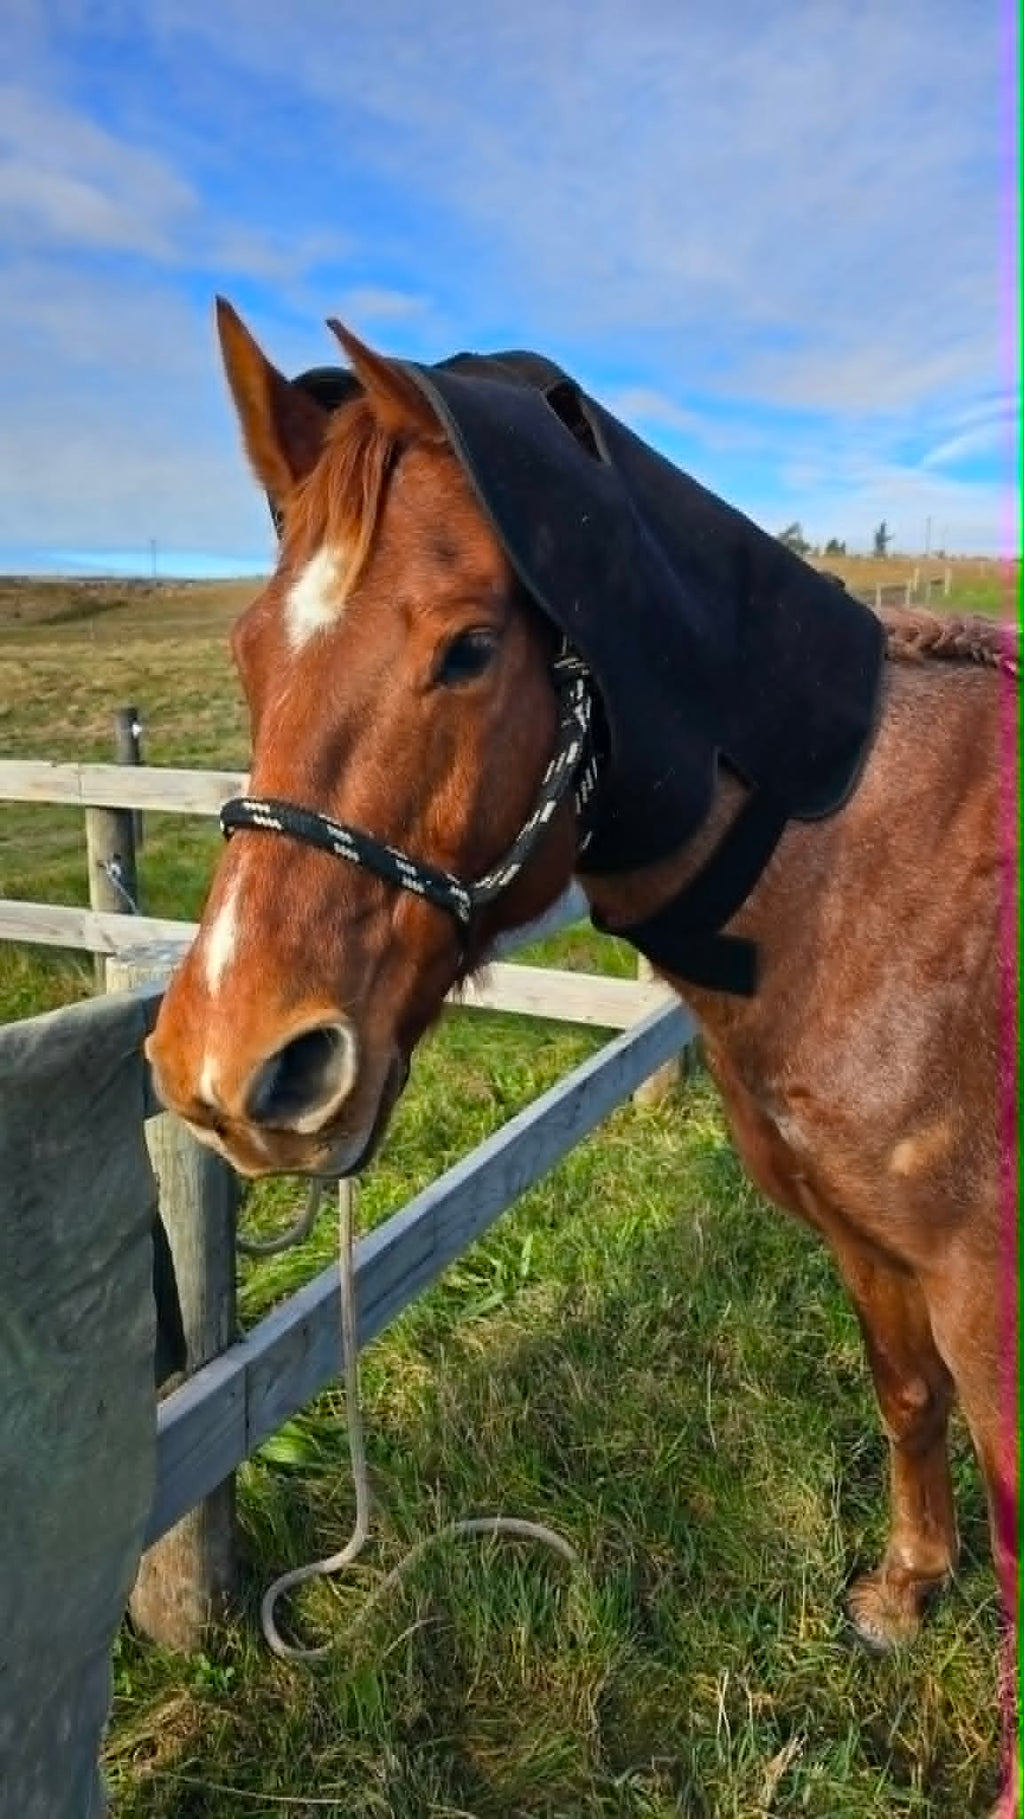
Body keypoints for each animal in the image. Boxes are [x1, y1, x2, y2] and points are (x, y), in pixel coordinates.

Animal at [147, 298, 1019, 1815]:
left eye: (467, 648)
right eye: (252, 652)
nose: (232, 1064)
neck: (862, 876)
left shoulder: (992, 1291)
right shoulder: (871, 1243)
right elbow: (907, 1396)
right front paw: (906, 1591)